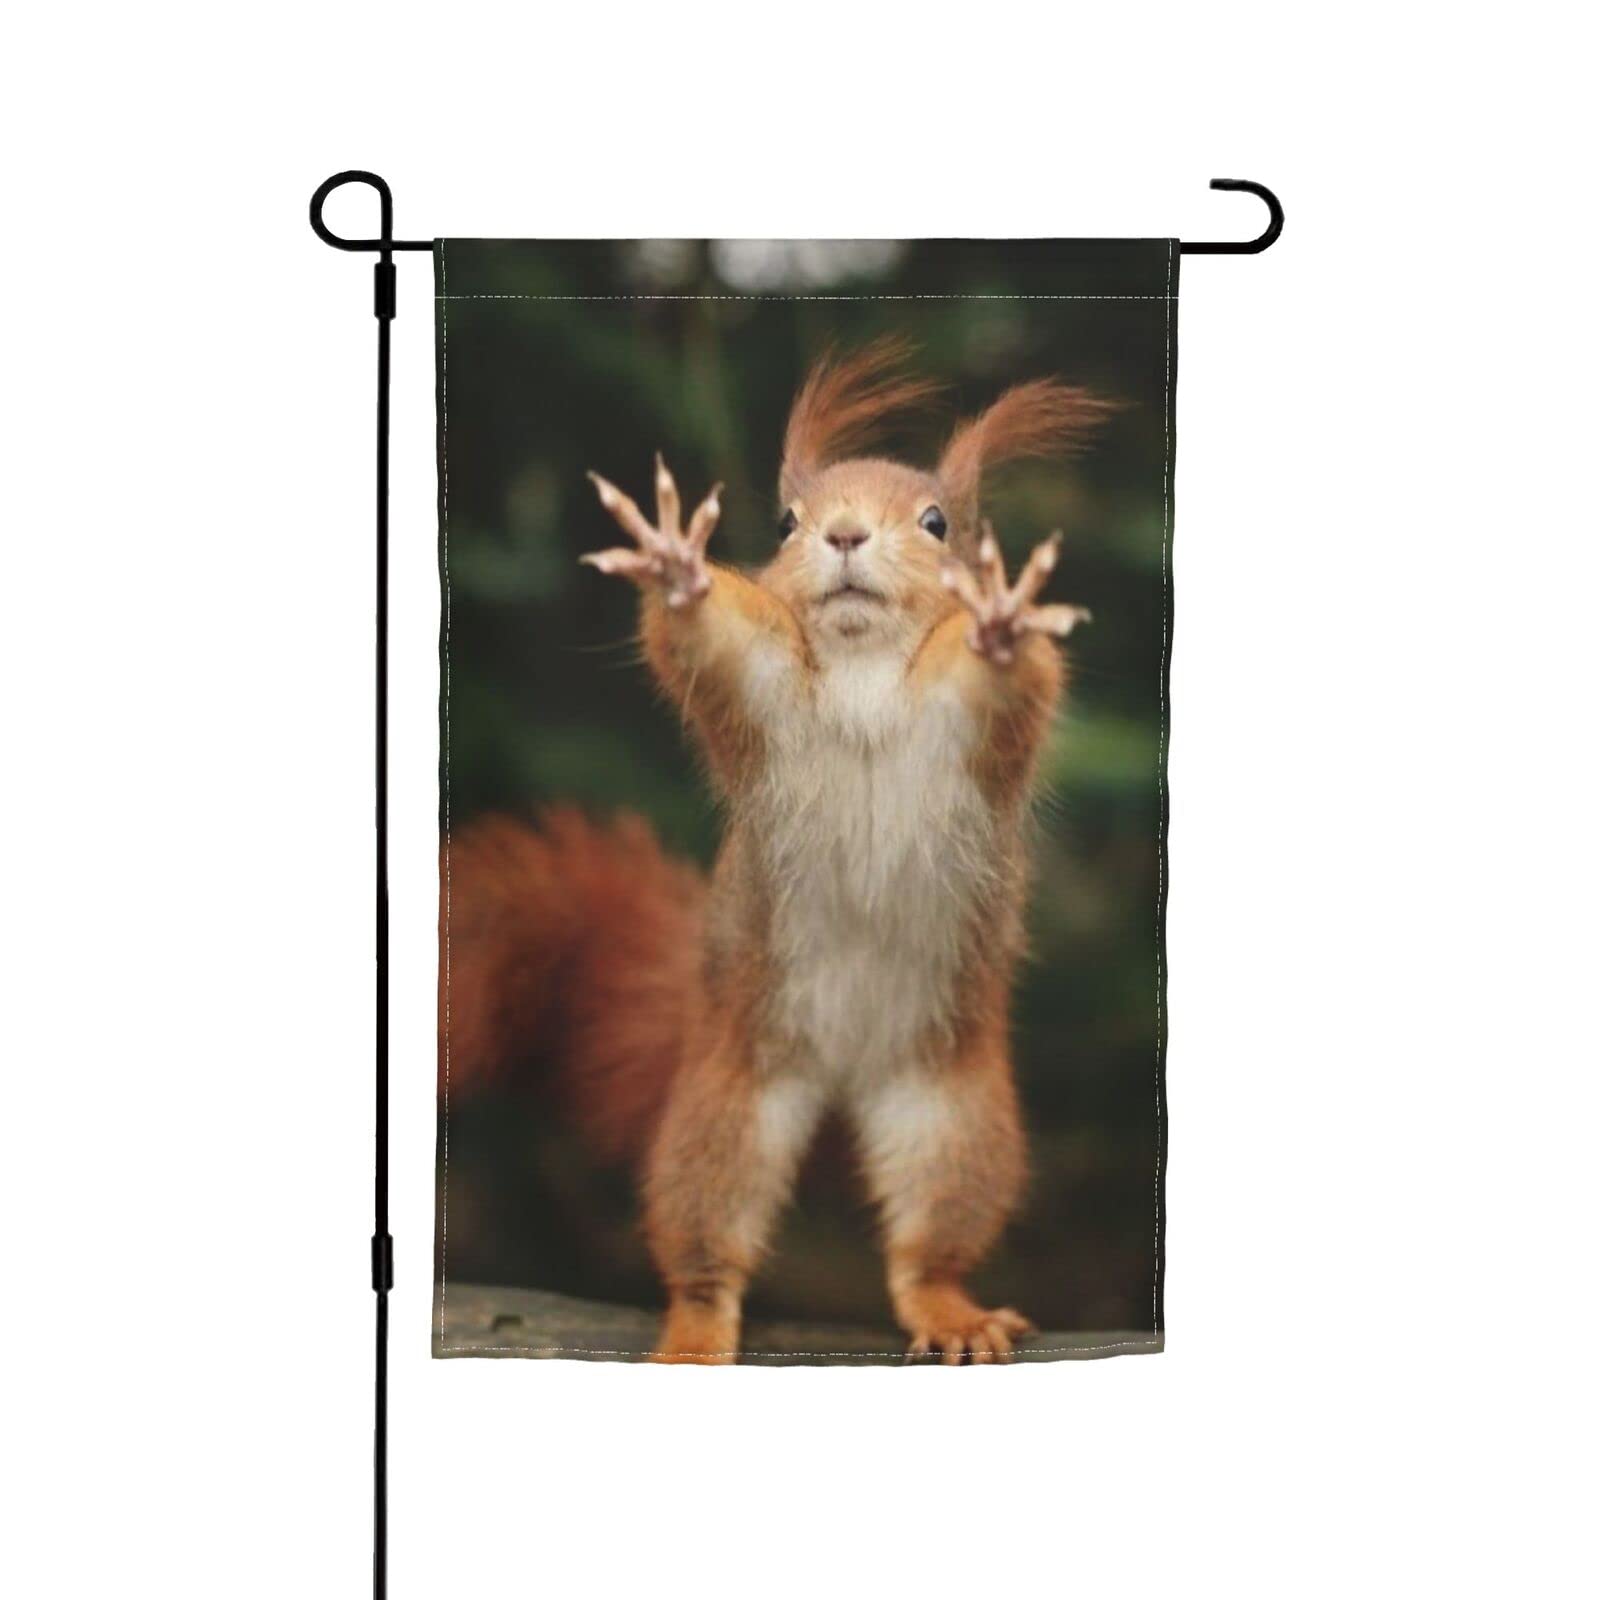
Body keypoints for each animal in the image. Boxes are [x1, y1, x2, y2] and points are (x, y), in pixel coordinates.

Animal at [443, 340, 1112, 1363]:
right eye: (792, 521)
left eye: (936, 523)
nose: (842, 534)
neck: (865, 667)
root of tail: (844, 1071)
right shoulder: (762, 689)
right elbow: (710, 642)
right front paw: (678, 569)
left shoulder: (972, 729)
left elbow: (1009, 679)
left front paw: (1002, 625)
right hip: (732, 1101)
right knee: (704, 1231)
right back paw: (695, 1329)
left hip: (951, 1112)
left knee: (929, 1242)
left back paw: (950, 1310)